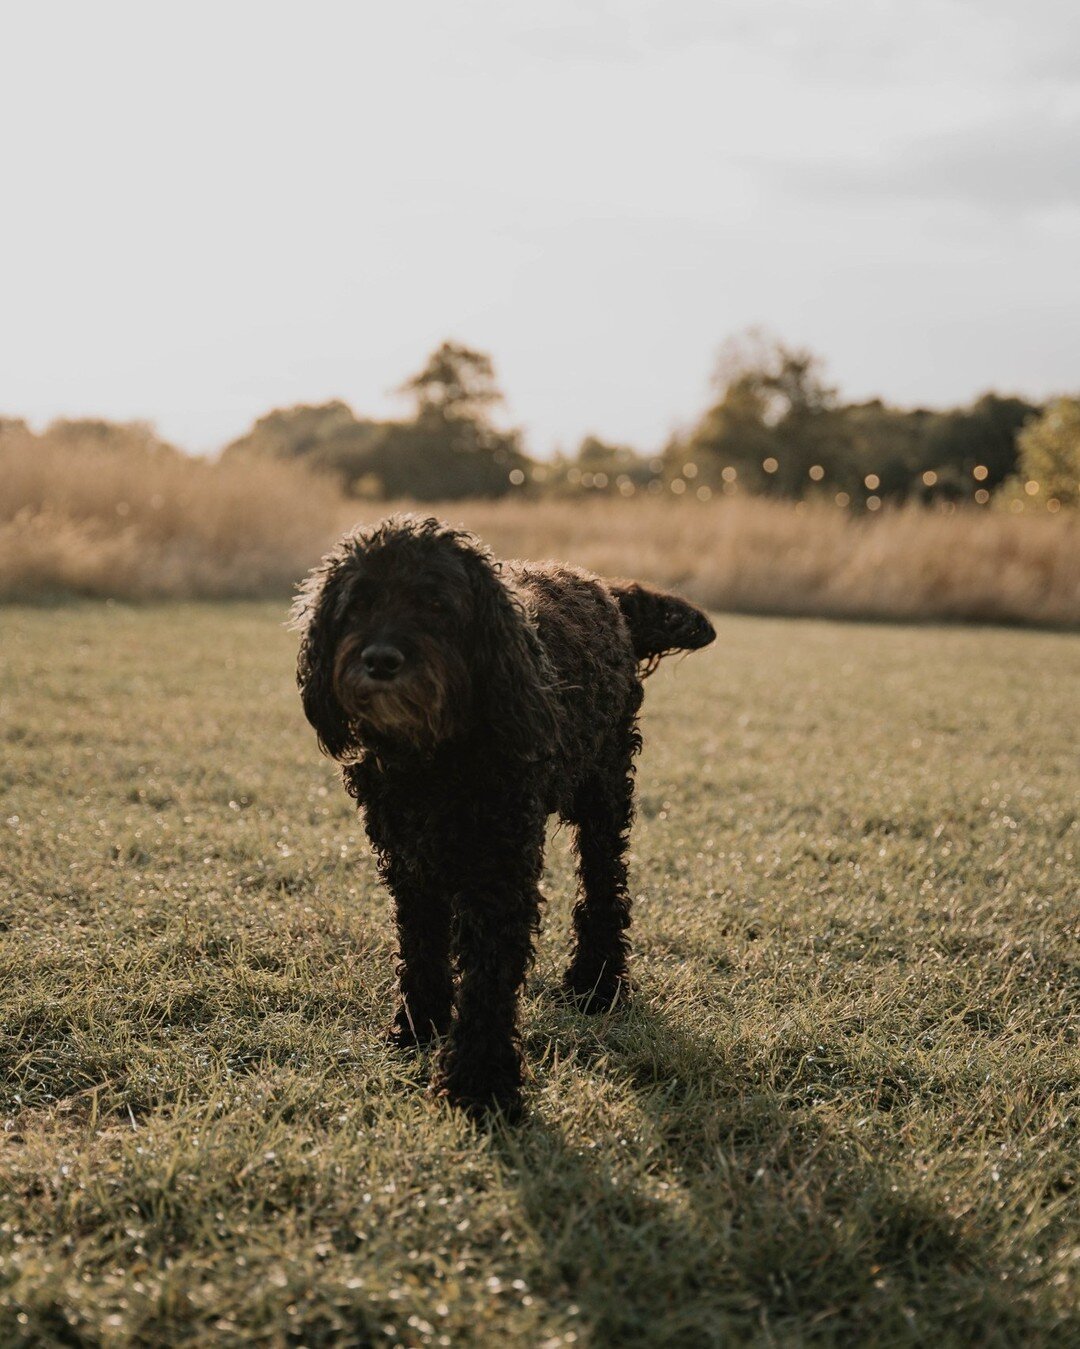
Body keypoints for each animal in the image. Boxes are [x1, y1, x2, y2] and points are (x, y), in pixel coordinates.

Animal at [292, 515, 717, 1116]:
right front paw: (418, 1028)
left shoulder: (500, 864)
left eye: (437, 603)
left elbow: (489, 975)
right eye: (359, 604)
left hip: (604, 795)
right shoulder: (407, 858)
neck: (433, 754)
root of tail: (601, 586)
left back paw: (596, 984)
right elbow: (420, 946)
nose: (380, 660)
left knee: (604, 885)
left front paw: (480, 1082)